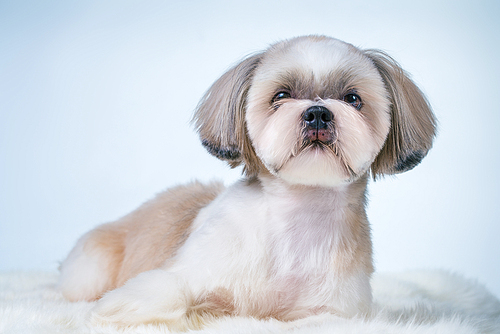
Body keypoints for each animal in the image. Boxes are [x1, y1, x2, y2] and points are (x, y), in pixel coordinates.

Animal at [57, 34, 434, 328]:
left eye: (352, 99)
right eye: (281, 96)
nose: (317, 113)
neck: (299, 221)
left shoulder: (336, 312)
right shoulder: (185, 274)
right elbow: (170, 293)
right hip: (90, 269)